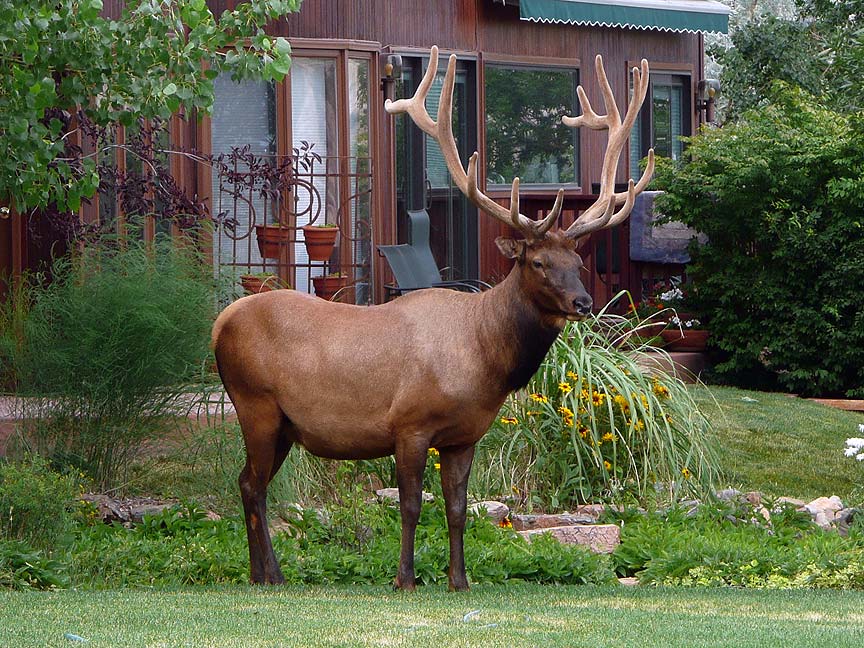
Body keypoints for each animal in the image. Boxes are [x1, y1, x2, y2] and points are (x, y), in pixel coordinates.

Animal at [211, 46, 654, 591]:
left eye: (578, 262)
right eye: (537, 262)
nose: (583, 303)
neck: (484, 360)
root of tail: (219, 324)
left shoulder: (464, 436)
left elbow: (458, 510)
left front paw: (459, 580)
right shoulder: (409, 424)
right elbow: (408, 507)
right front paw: (405, 578)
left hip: (284, 425)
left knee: (247, 482)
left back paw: (263, 573)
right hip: (256, 404)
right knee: (251, 483)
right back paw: (269, 573)